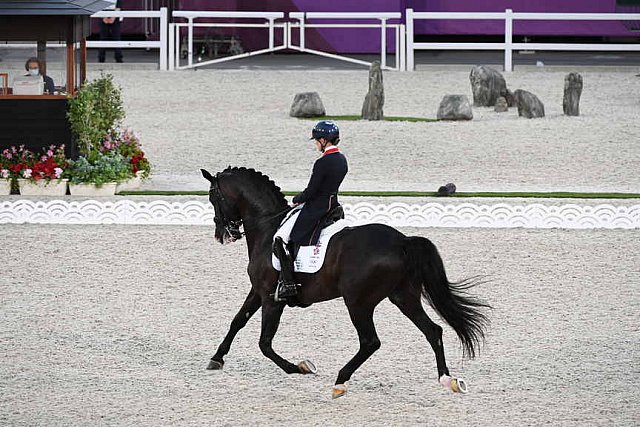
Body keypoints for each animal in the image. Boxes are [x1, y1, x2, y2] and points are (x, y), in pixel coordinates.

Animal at [201, 166, 490, 398]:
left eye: (213, 197)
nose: (222, 235)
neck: (268, 227)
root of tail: (402, 241)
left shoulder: (273, 298)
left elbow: (265, 343)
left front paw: (301, 368)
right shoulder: (258, 291)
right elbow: (237, 321)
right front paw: (216, 359)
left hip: (358, 302)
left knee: (371, 341)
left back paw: (340, 382)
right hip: (403, 296)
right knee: (433, 331)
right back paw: (448, 380)